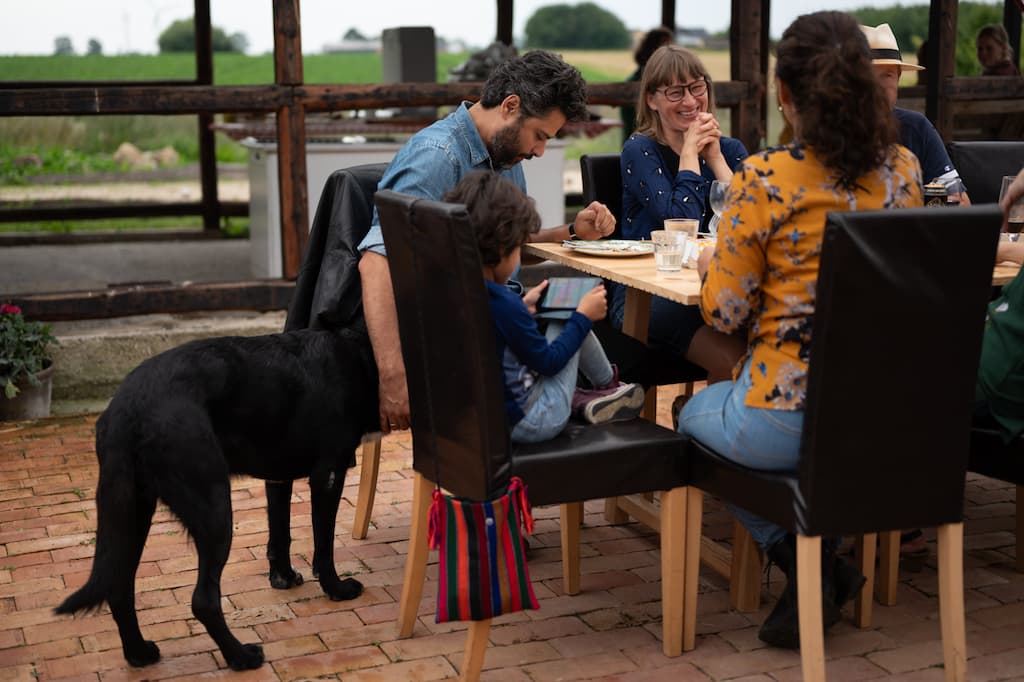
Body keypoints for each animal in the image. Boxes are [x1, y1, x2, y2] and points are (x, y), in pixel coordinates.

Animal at [54, 325, 380, 667]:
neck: (355, 346)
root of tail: (125, 408)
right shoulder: (328, 474)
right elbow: (324, 544)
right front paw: (337, 588)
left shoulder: (280, 476)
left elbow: (281, 531)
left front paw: (284, 576)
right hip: (215, 510)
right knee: (203, 600)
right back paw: (241, 657)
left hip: (132, 511)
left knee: (119, 588)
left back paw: (139, 654)